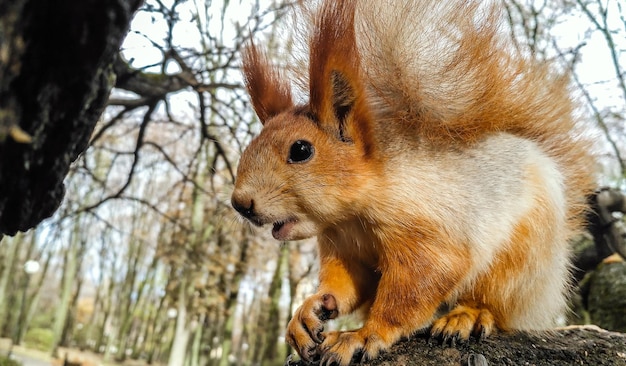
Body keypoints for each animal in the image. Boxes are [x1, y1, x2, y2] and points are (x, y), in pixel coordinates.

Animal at [230, 1, 596, 364]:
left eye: (301, 150)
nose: (240, 203)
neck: (353, 216)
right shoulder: (343, 247)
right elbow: (345, 286)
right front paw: (307, 312)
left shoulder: (429, 234)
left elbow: (413, 291)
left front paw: (362, 335)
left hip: (519, 259)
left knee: (496, 303)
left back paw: (468, 315)